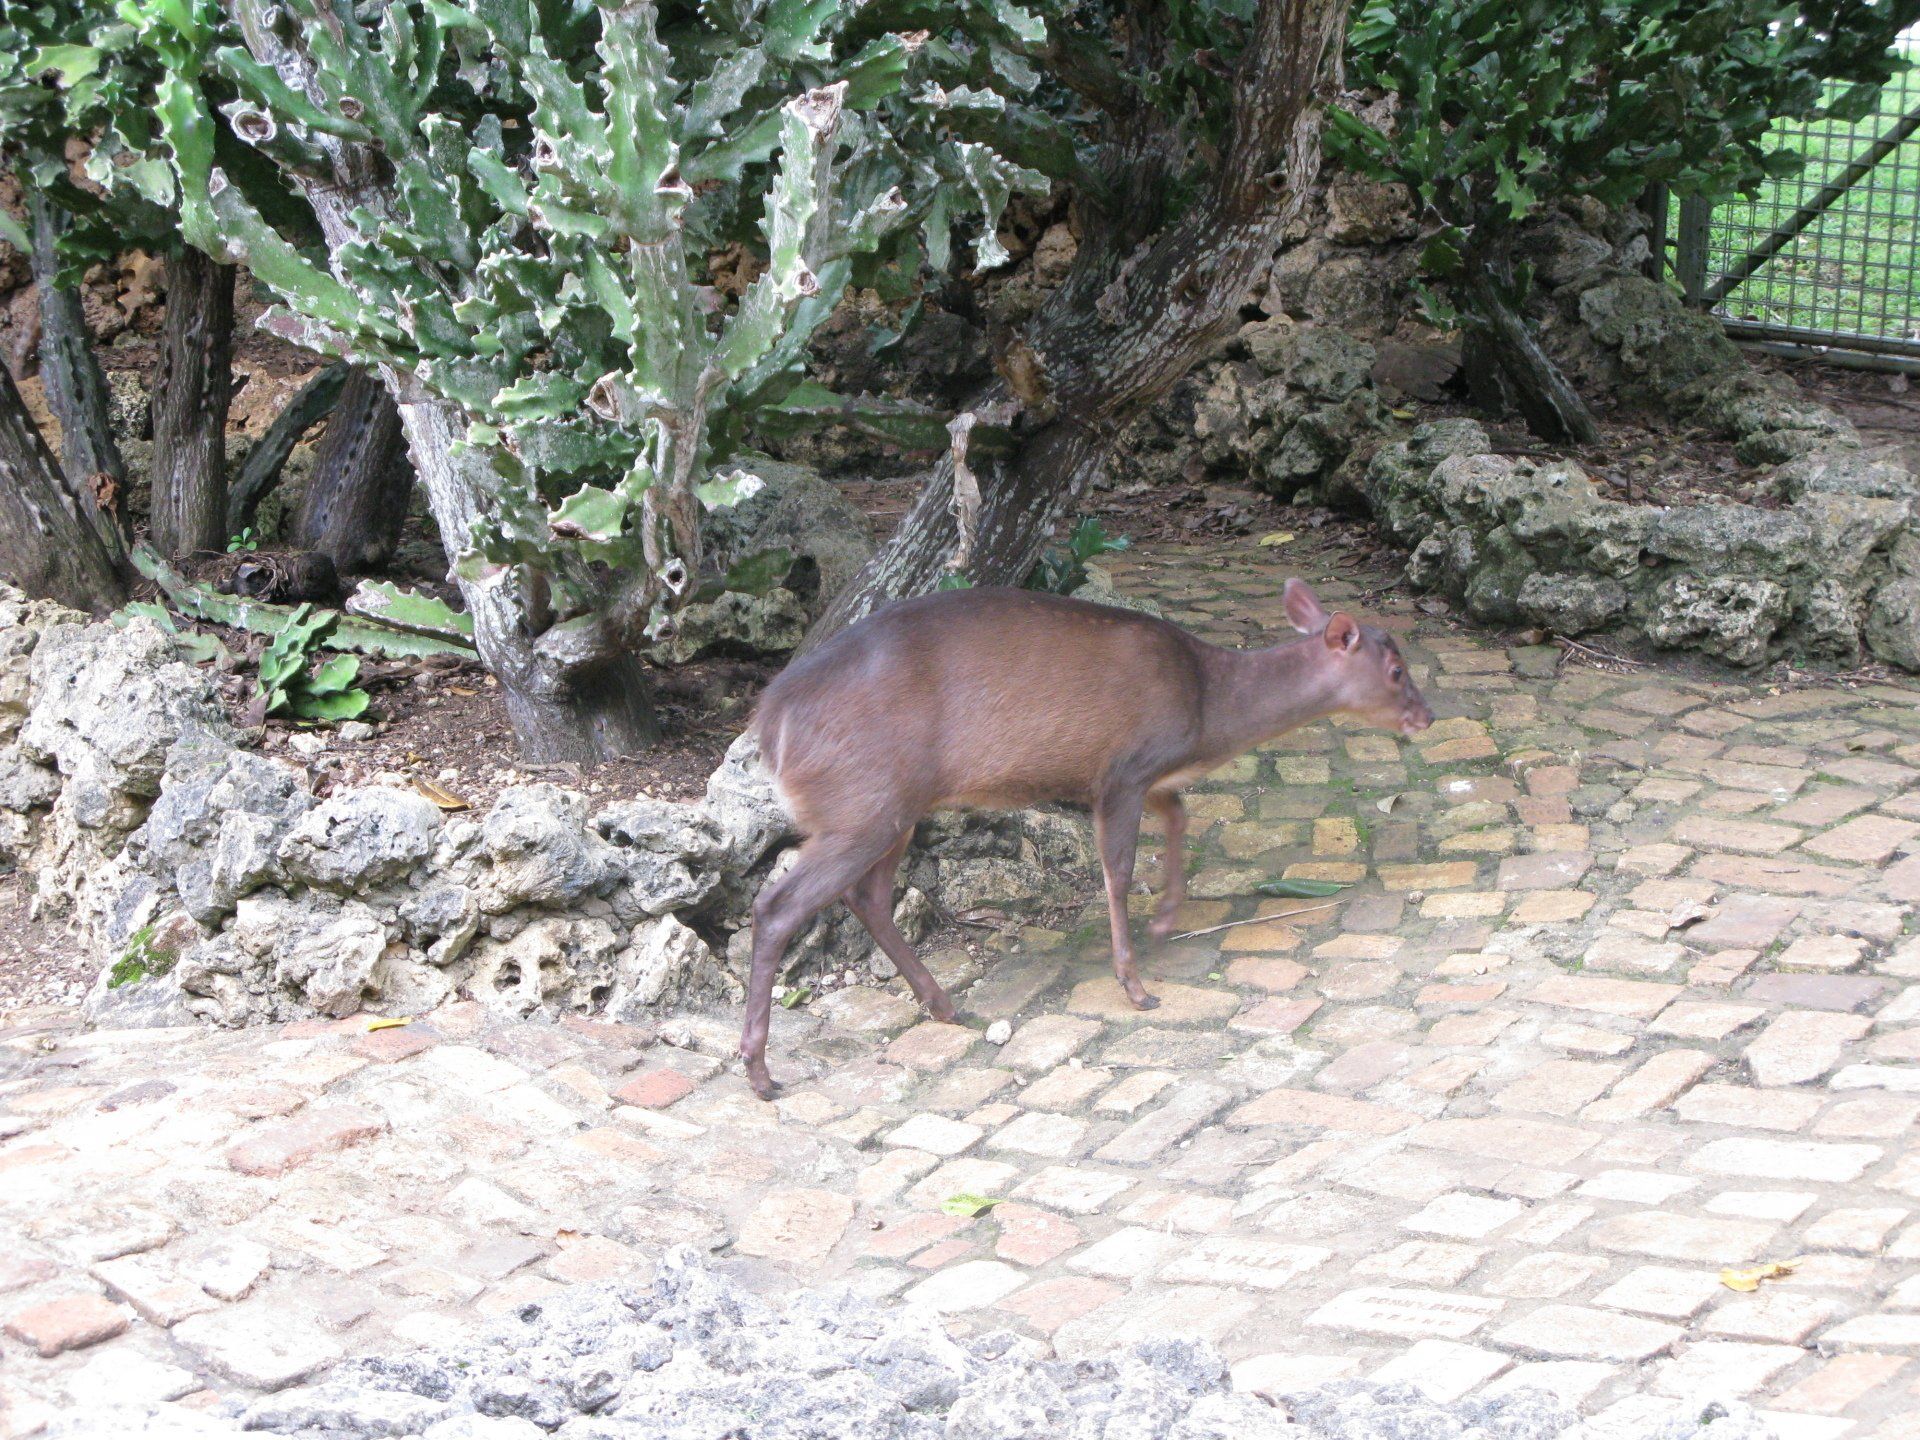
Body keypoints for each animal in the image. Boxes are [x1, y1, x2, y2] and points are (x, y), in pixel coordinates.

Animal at [739, 577, 1434, 1098]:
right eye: (1398, 669)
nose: (1427, 716)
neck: (1206, 708)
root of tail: (770, 725)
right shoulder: (1122, 767)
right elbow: (1117, 872)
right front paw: (1136, 985)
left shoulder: (1151, 773)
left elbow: (1180, 815)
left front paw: (1167, 918)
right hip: (863, 802)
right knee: (776, 905)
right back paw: (762, 1072)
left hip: (893, 807)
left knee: (868, 897)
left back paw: (943, 1004)